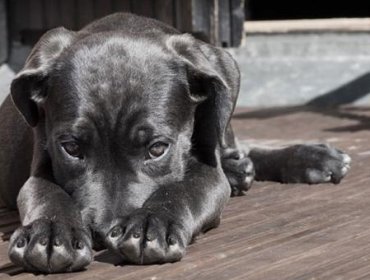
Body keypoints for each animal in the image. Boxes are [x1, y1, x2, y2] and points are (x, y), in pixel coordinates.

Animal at [0, 13, 352, 274]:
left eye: (157, 148)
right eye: (71, 148)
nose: (102, 233)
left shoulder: (209, 173)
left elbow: (183, 189)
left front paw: (150, 224)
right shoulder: (40, 163)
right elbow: (46, 193)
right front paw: (50, 233)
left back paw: (309, 158)